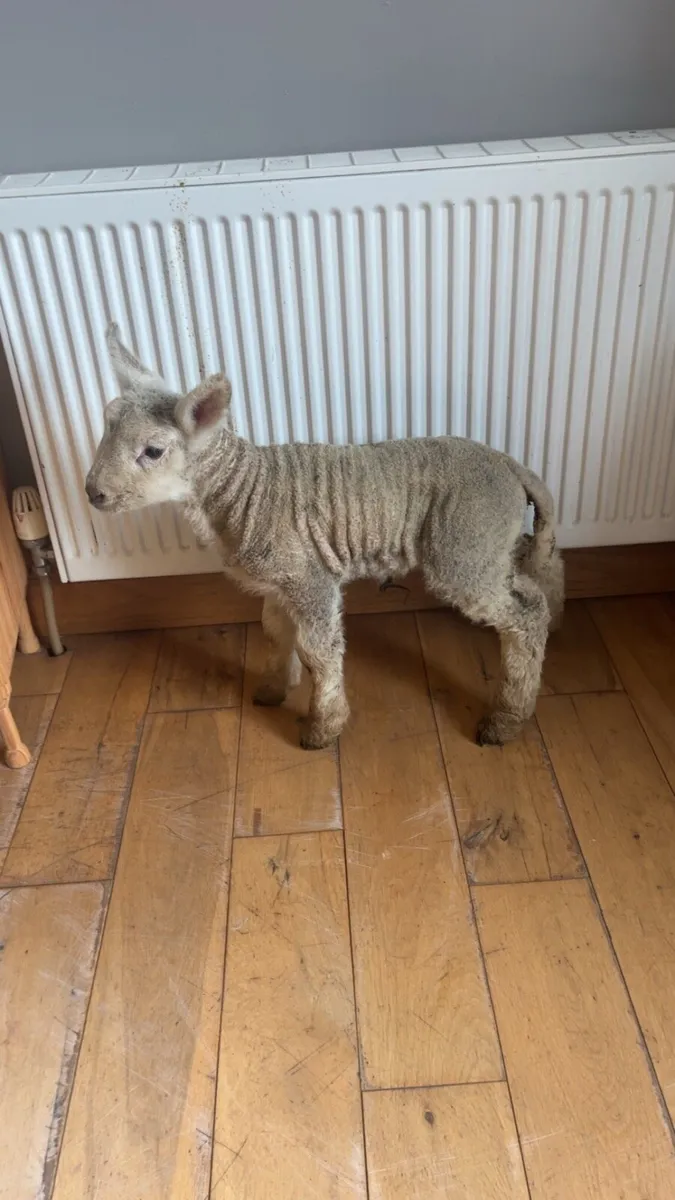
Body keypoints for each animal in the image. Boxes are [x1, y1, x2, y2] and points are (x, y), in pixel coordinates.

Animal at [86, 324, 563, 749]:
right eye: (106, 426)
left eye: (153, 451)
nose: (93, 492)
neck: (244, 488)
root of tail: (510, 464)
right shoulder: (278, 582)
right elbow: (275, 632)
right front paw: (273, 690)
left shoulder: (310, 580)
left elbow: (318, 652)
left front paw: (322, 728)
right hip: (492, 541)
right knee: (538, 569)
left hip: (464, 546)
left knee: (525, 614)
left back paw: (506, 719)